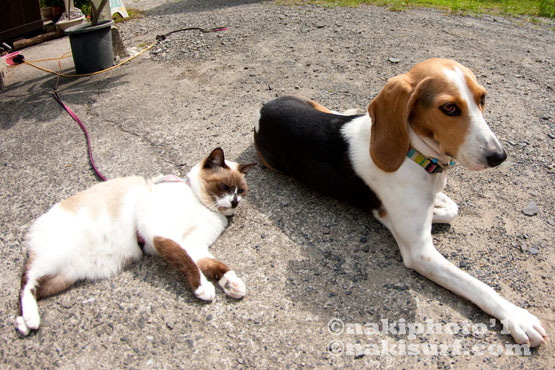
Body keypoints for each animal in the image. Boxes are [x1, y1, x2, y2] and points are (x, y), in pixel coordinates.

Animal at [16, 147, 256, 336]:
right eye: (225, 187)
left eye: (241, 191)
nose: (235, 202)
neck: (203, 206)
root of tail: (35, 223)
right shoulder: (162, 234)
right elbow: (186, 262)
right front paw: (203, 289)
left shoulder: (196, 246)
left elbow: (216, 266)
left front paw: (232, 284)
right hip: (55, 257)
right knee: (26, 280)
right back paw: (30, 321)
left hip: (64, 276)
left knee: (36, 288)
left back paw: (24, 322)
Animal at [255, 58, 548, 346]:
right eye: (449, 108)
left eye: (483, 98)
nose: (499, 156)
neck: (413, 153)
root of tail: (262, 111)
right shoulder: (421, 254)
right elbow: (475, 284)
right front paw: (516, 316)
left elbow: (450, 208)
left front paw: (439, 204)